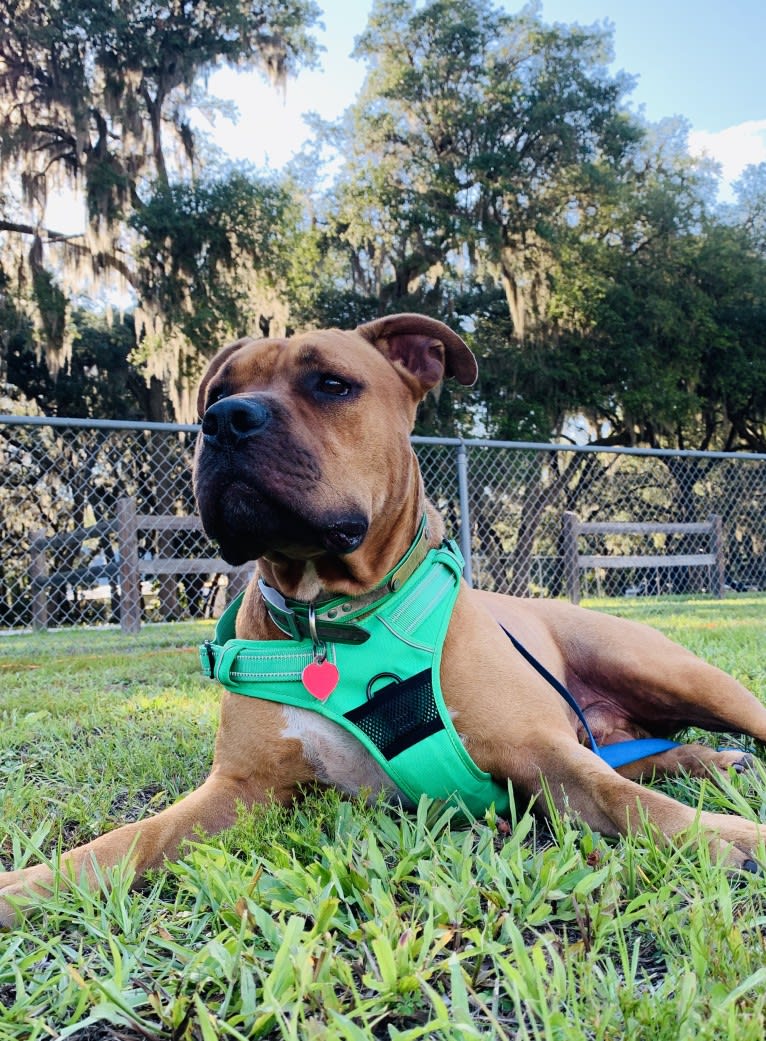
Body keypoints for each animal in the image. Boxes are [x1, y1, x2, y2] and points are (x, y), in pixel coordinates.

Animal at [1, 312, 766, 924]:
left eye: (332, 385)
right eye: (216, 394)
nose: (225, 420)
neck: (331, 616)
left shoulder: (540, 750)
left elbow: (625, 799)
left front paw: (732, 838)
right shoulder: (239, 791)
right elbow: (125, 841)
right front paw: (28, 885)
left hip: (673, 672)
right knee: (645, 752)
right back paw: (710, 760)